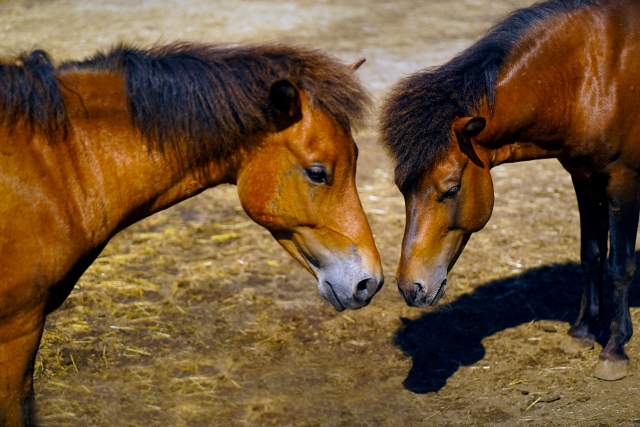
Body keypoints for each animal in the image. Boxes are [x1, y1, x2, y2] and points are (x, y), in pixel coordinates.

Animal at [380, 0, 640, 382]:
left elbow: (620, 265)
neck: (595, 73)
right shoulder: (584, 177)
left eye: (451, 189)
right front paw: (582, 332)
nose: (410, 288)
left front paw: (614, 350)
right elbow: (591, 254)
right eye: (401, 188)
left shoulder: (623, 181)